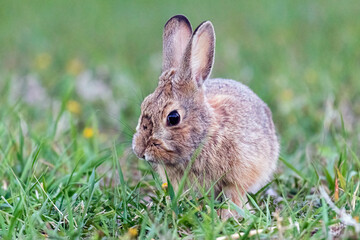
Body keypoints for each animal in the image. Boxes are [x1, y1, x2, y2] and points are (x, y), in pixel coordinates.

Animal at [131, 14, 280, 218]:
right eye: (145, 104)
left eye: (173, 118)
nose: (139, 151)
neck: (205, 134)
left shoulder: (239, 175)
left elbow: (234, 195)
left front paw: (226, 215)